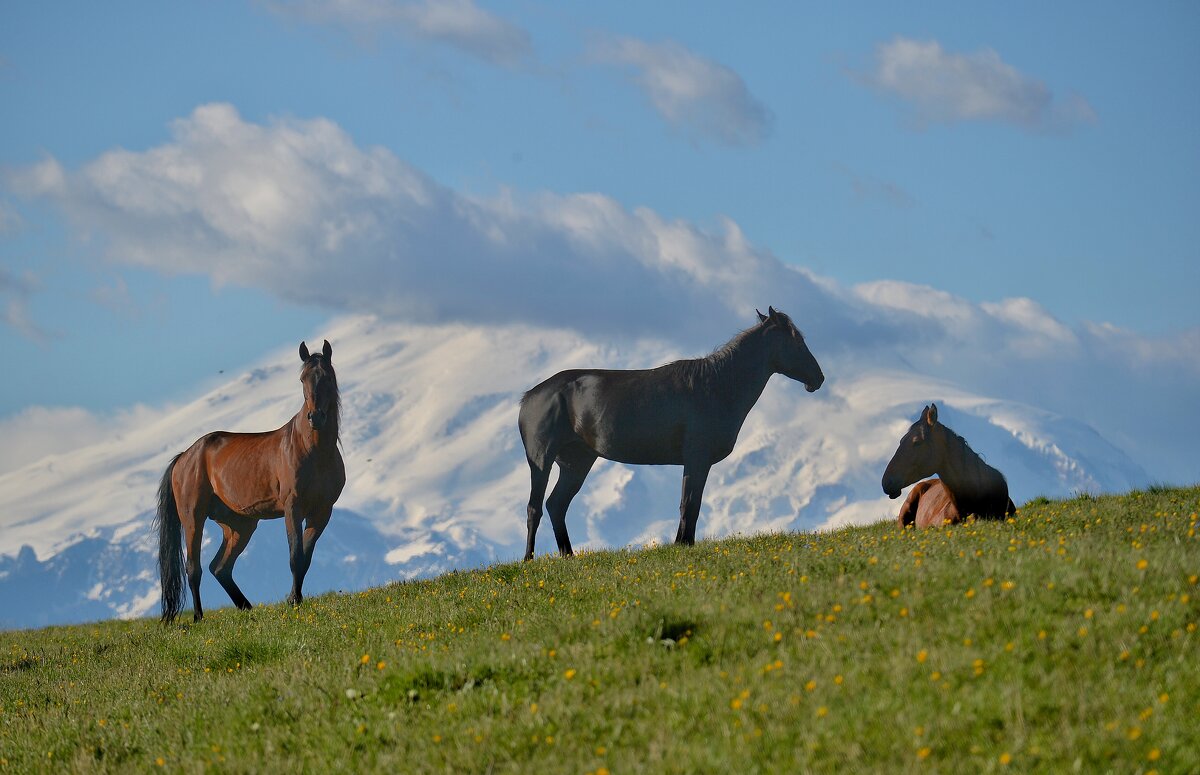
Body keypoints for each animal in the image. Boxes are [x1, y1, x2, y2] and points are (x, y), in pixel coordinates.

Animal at [153, 340, 343, 623]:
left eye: (328, 377)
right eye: (302, 379)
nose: (315, 417)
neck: (313, 450)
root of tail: (184, 457)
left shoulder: (322, 511)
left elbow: (306, 557)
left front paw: (294, 598)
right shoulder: (293, 508)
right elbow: (295, 556)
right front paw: (294, 600)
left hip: (239, 524)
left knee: (219, 567)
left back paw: (246, 607)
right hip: (192, 518)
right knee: (194, 567)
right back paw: (198, 617)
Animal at [516, 307, 825, 561]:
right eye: (797, 341)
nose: (818, 379)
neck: (717, 386)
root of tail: (529, 396)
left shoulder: (697, 462)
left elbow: (691, 503)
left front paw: (683, 543)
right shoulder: (697, 458)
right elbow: (689, 503)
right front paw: (682, 544)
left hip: (576, 463)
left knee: (556, 505)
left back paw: (568, 556)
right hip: (541, 462)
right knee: (535, 508)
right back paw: (528, 560)